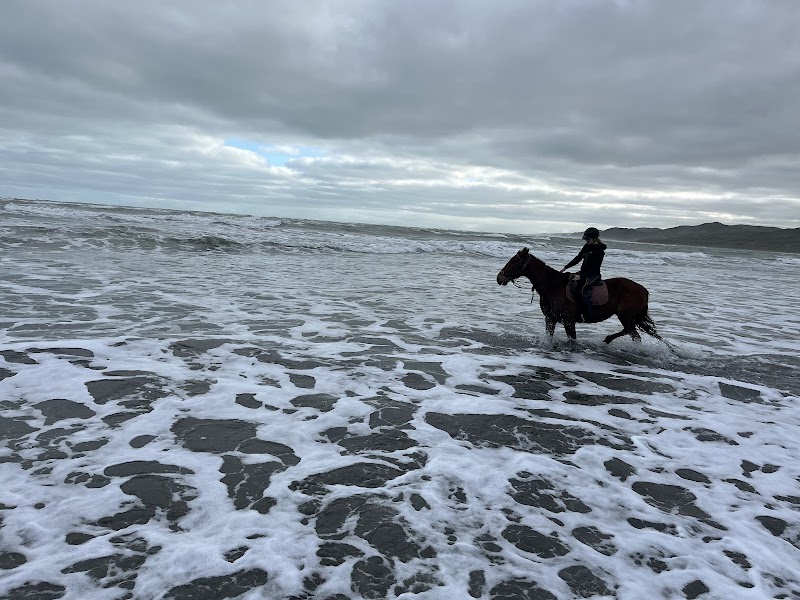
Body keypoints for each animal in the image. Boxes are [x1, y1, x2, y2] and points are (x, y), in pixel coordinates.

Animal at [496, 247, 665, 344]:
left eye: (514, 261)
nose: (499, 278)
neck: (553, 286)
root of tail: (644, 290)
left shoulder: (569, 322)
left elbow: (572, 340)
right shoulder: (550, 319)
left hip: (626, 316)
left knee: (632, 333)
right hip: (626, 317)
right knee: (631, 332)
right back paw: (609, 340)